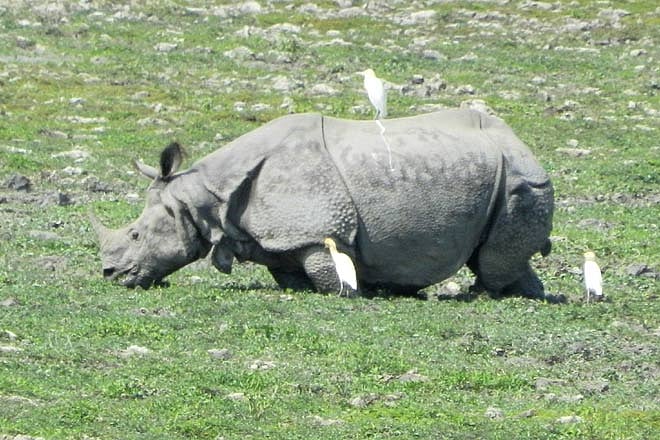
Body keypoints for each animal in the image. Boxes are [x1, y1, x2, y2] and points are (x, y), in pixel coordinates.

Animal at [92, 110, 554, 298]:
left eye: (136, 234)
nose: (110, 274)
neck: (204, 196)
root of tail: (519, 140)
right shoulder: (280, 236)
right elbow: (288, 273)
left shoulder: (319, 230)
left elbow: (327, 274)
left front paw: (356, 291)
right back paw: (528, 295)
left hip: (519, 178)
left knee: (493, 259)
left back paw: (481, 295)